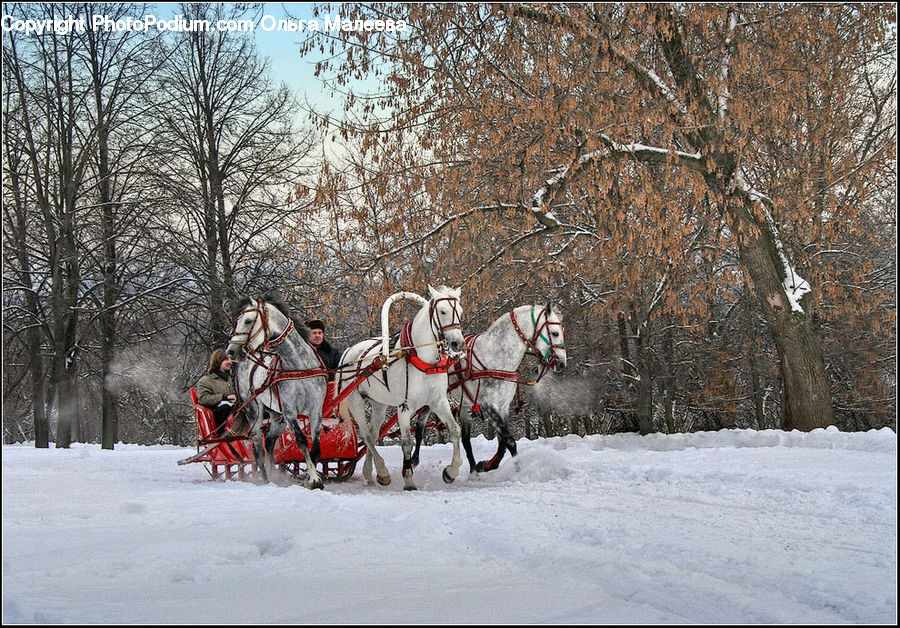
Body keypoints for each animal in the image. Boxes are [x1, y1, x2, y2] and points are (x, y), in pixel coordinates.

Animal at [225, 292, 328, 489]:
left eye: (248, 321)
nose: (231, 351)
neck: (298, 365)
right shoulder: (289, 411)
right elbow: (301, 439)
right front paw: (313, 478)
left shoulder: (316, 409)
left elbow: (316, 445)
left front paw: (311, 478)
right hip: (254, 411)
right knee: (258, 446)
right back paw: (266, 480)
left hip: (276, 415)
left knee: (270, 441)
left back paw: (274, 475)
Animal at [336, 285, 466, 490]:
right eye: (442, 311)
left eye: (460, 312)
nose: (457, 343)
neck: (422, 358)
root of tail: (349, 351)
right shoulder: (405, 407)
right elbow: (406, 442)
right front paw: (409, 480)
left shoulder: (437, 402)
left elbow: (454, 430)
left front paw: (451, 472)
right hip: (355, 401)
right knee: (366, 436)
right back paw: (382, 472)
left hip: (379, 405)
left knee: (373, 434)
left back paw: (370, 473)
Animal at [416, 303, 567, 473]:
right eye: (555, 333)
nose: (562, 363)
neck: (495, 357)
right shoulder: (488, 405)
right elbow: (509, 441)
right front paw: (517, 468)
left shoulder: (503, 407)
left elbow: (502, 442)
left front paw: (487, 465)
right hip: (429, 401)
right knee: (419, 428)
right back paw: (412, 461)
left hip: (463, 405)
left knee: (465, 439)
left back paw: (473, 470)